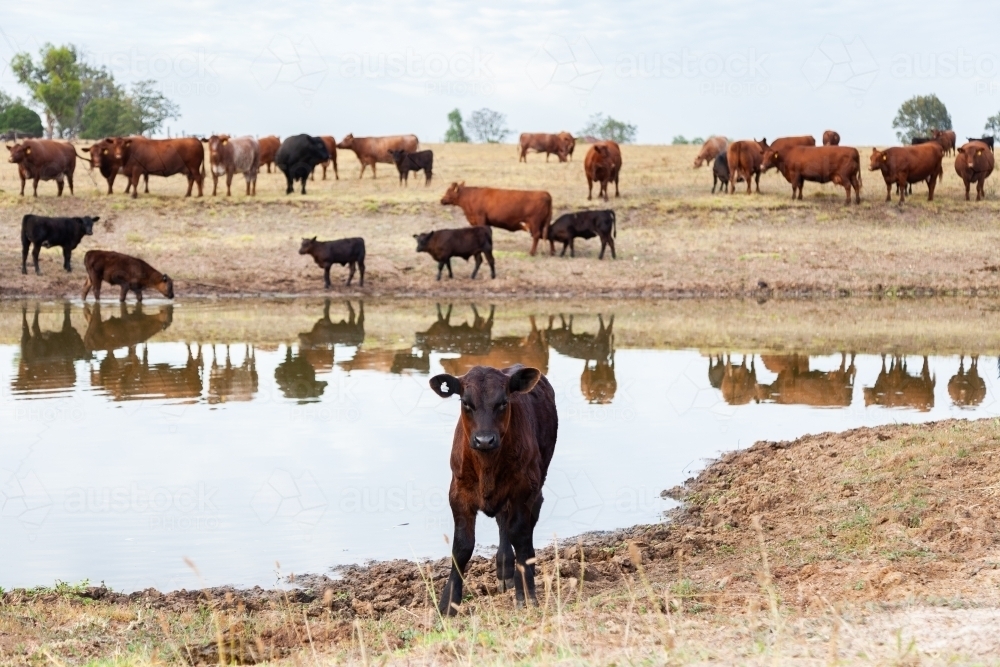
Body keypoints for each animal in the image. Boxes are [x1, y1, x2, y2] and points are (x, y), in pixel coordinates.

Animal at [428, 366, 560, 616]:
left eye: (503, 402)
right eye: (466, 403)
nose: (484, 440)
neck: (486, 466)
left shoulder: (523, 490)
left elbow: (520, 535)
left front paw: (526, 594)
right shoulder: (458, 493)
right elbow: (462, 546)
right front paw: (448, 603)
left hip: (537, 483)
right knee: (503, 522)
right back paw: (504, 568)